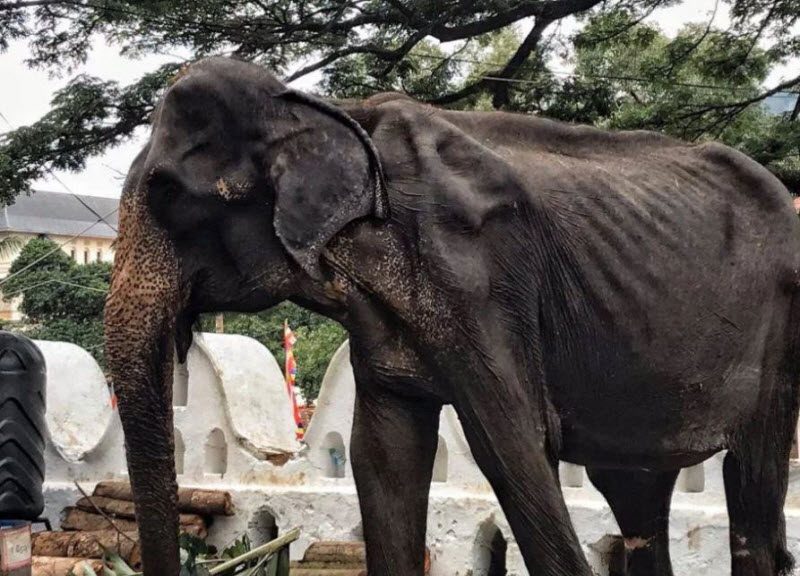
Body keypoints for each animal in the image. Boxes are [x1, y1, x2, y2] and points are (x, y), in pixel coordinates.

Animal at [104, 56, 800, 576]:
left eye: (166, 192)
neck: (329, 108)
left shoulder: (478, 275)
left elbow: (512, 445)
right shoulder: (380, 314)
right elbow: (382, 456)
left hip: (781, 335)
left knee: (751, 488)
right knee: (635, 496)